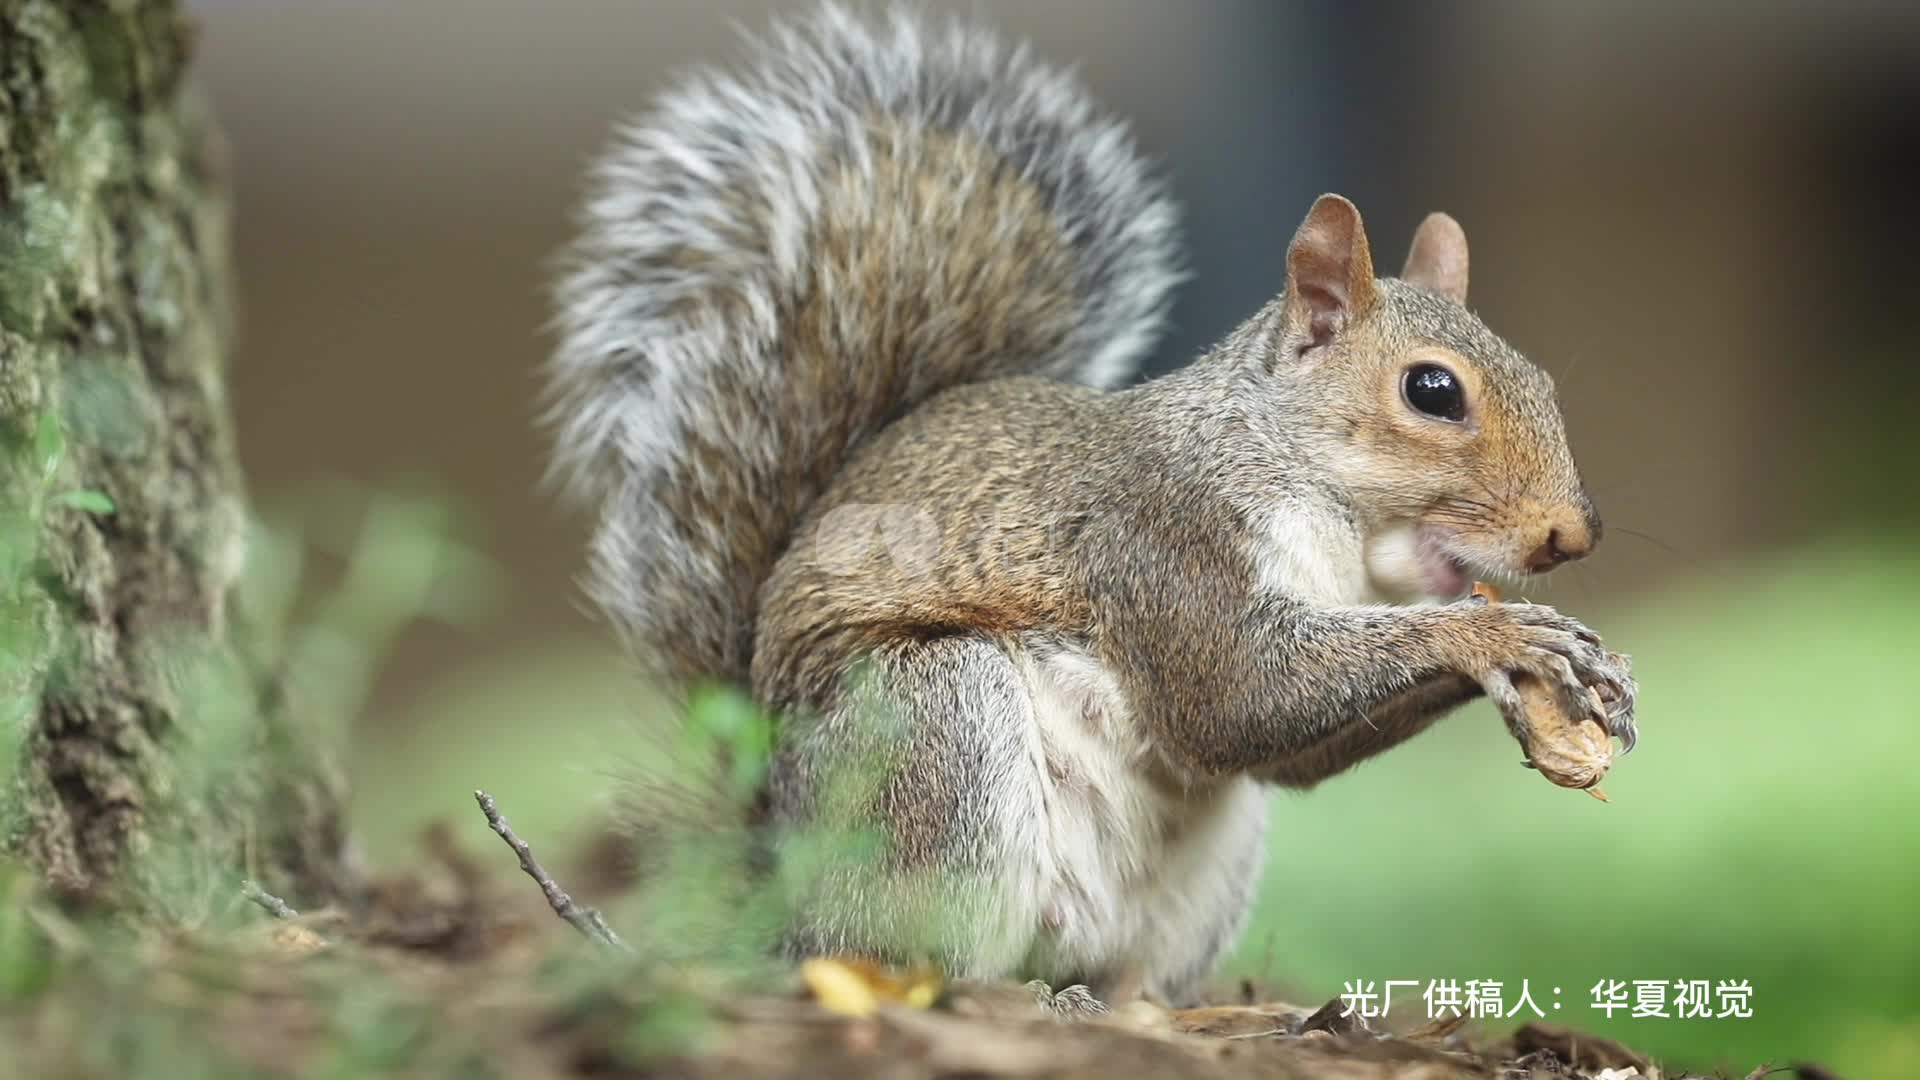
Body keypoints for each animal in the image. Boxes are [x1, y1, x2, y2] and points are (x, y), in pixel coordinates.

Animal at [541, 4, 1635, 1006]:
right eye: (1433, 391)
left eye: (1541, 377)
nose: (1573, 533)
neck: (1328, 514)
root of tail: (775, 868)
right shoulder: (1158, 538)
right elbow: (1235, 694)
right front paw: (1498, 638)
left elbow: (1280, 748)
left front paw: (1569, 669)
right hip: (930, 726)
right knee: (906, 954)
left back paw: (1123, 1000)